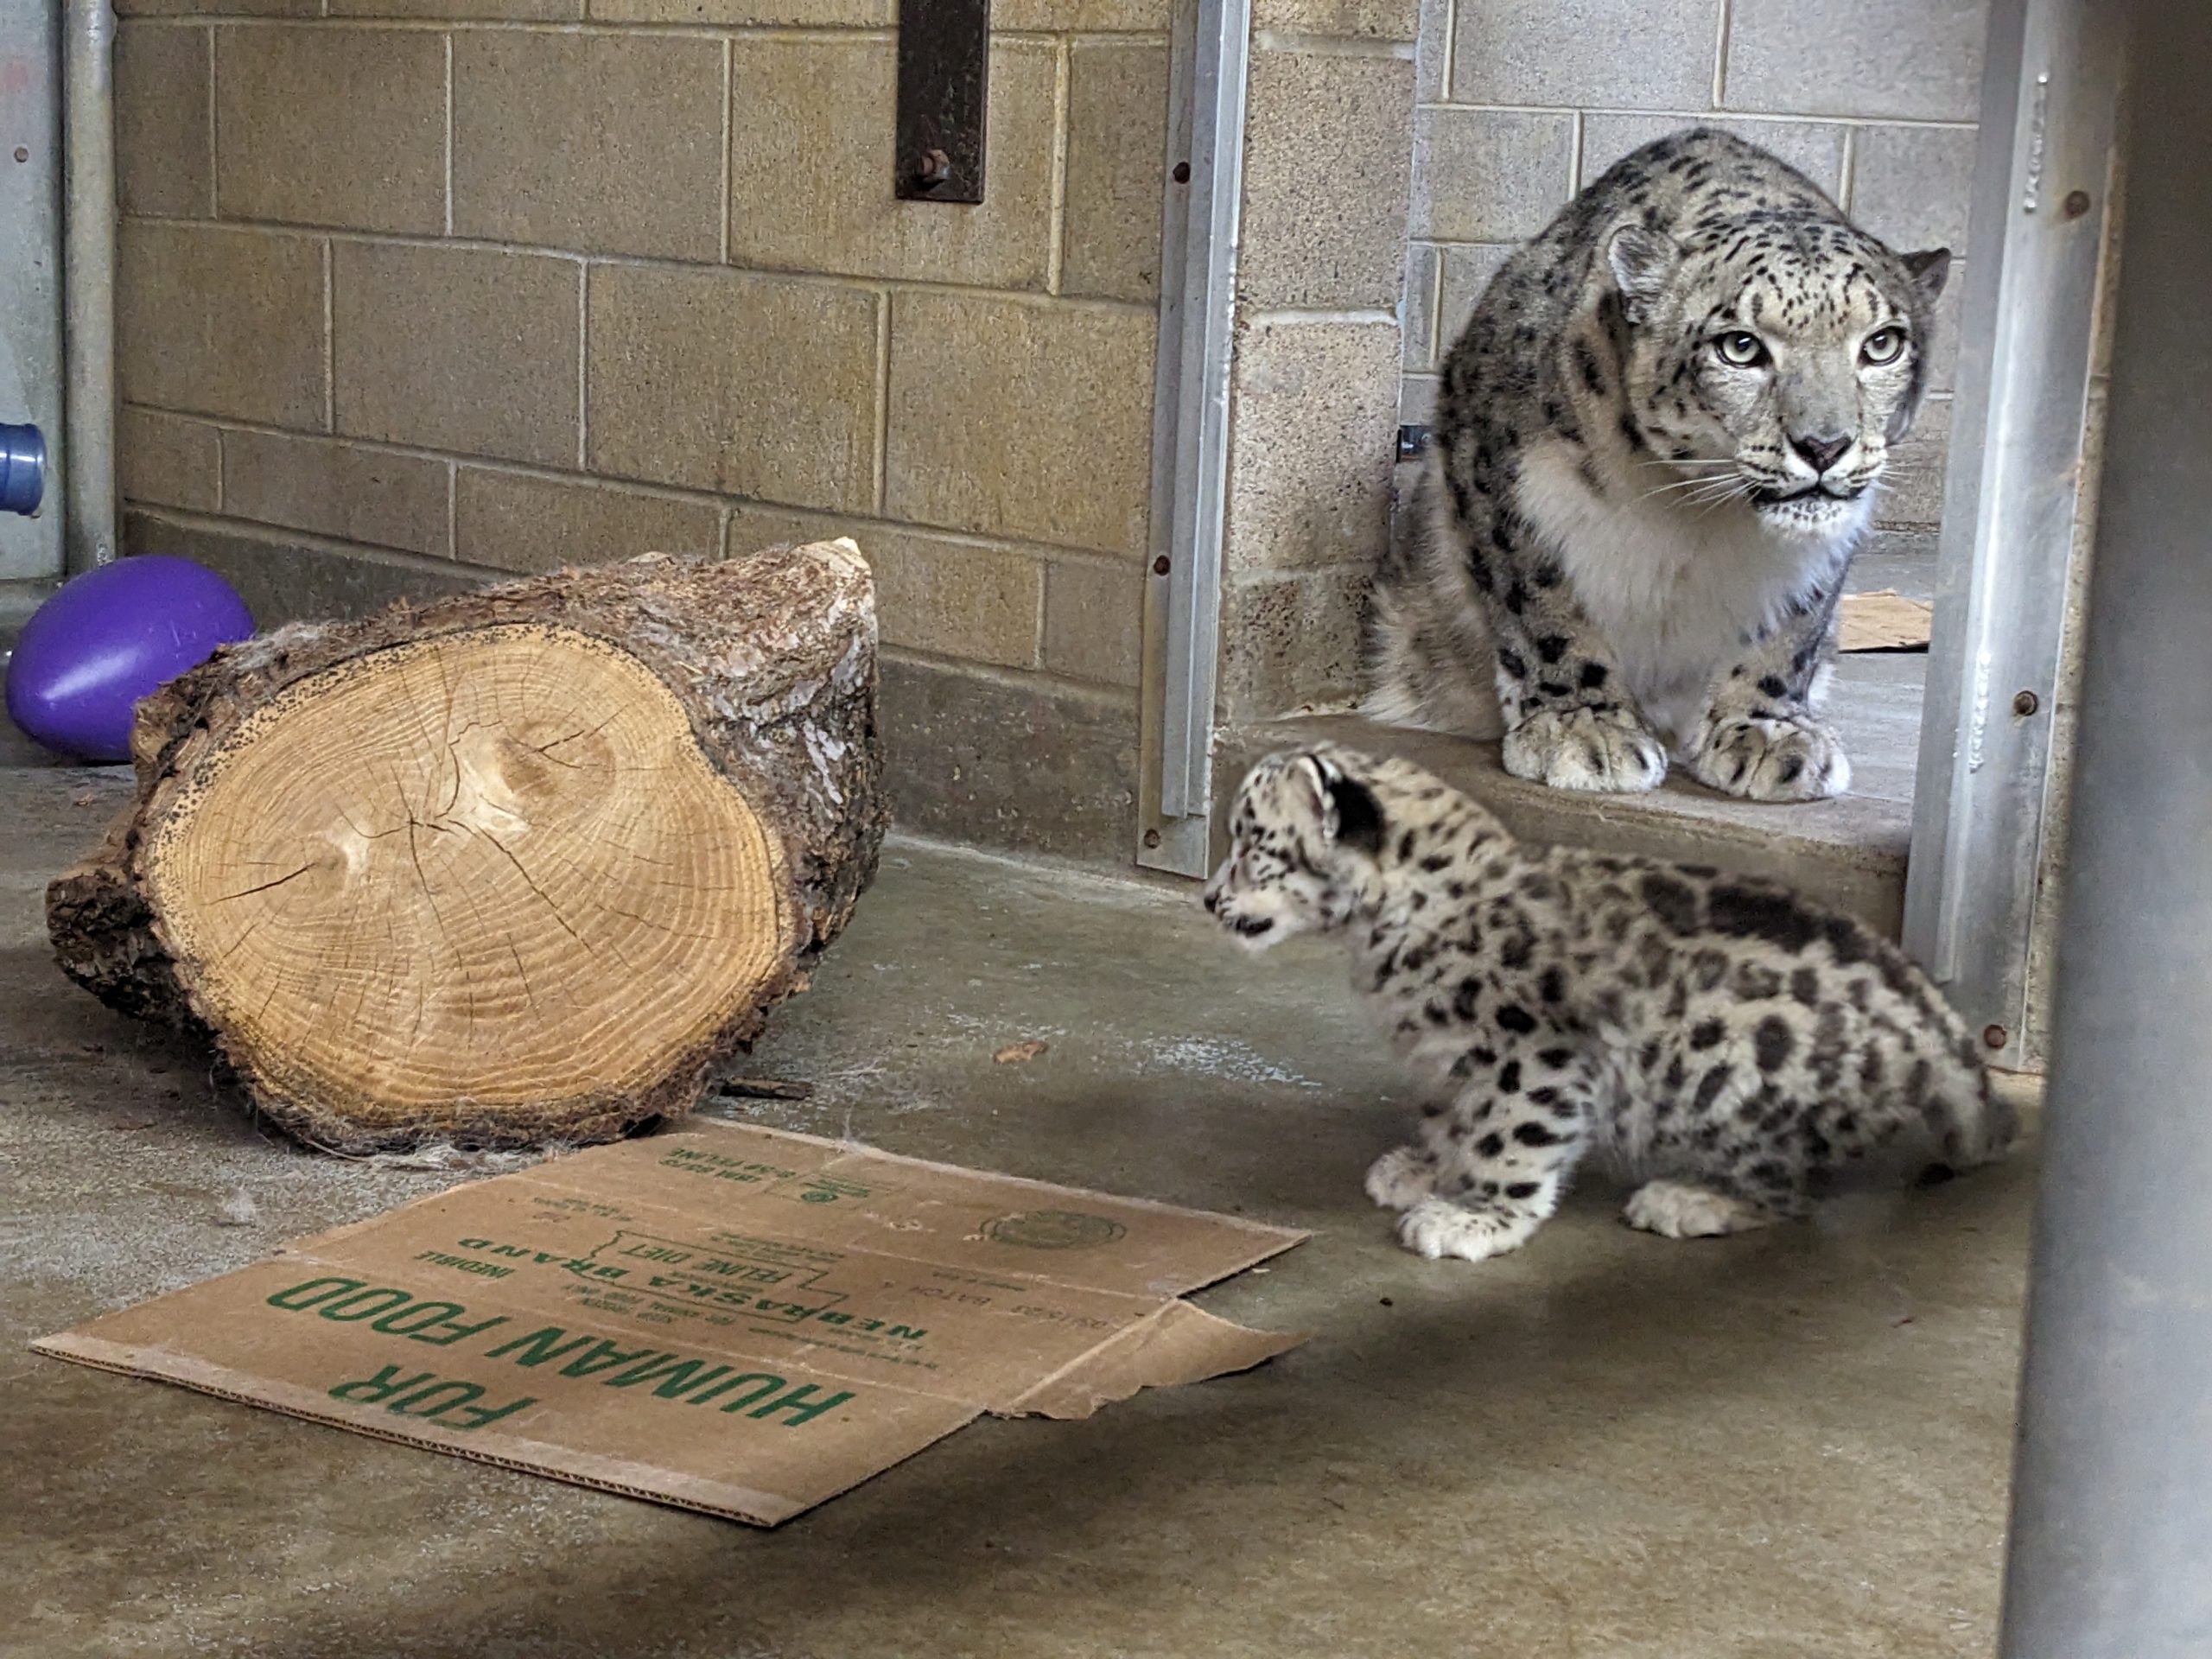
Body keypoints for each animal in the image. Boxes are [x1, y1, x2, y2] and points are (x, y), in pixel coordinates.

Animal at [1362, 126, 1955, 800]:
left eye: (1882, 344)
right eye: (1740, 346)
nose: (1825, 446)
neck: (1698, 511)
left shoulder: (1830, 539)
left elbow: (1795, 625)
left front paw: (1767, 732)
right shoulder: (1497, 463)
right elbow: (1536, 598)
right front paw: (1583, 726)